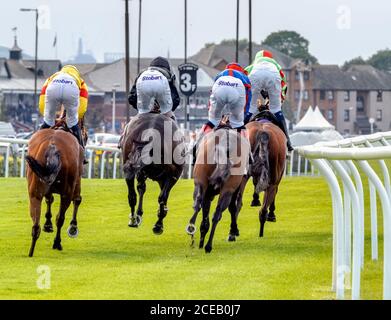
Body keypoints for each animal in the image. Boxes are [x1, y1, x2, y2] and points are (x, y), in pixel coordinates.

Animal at [26, 117, 87, 258]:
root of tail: (52, 146)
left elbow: (49, 199)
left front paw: (47, 225)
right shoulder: (77, 180)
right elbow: (77, 199)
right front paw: (73, 227)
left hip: (34, 191)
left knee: (35, 224)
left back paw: (31, 252)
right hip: (67, 192)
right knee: (60, 218)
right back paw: (57, 242)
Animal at [185, 115, 250, 252]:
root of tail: (224, 143)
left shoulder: (210, 192)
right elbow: (233, 207)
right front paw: (234, 231)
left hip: (202, 182)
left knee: (199, 203)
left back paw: (195, 232)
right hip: (226, 189)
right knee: (216, 212)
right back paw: (207, 244)